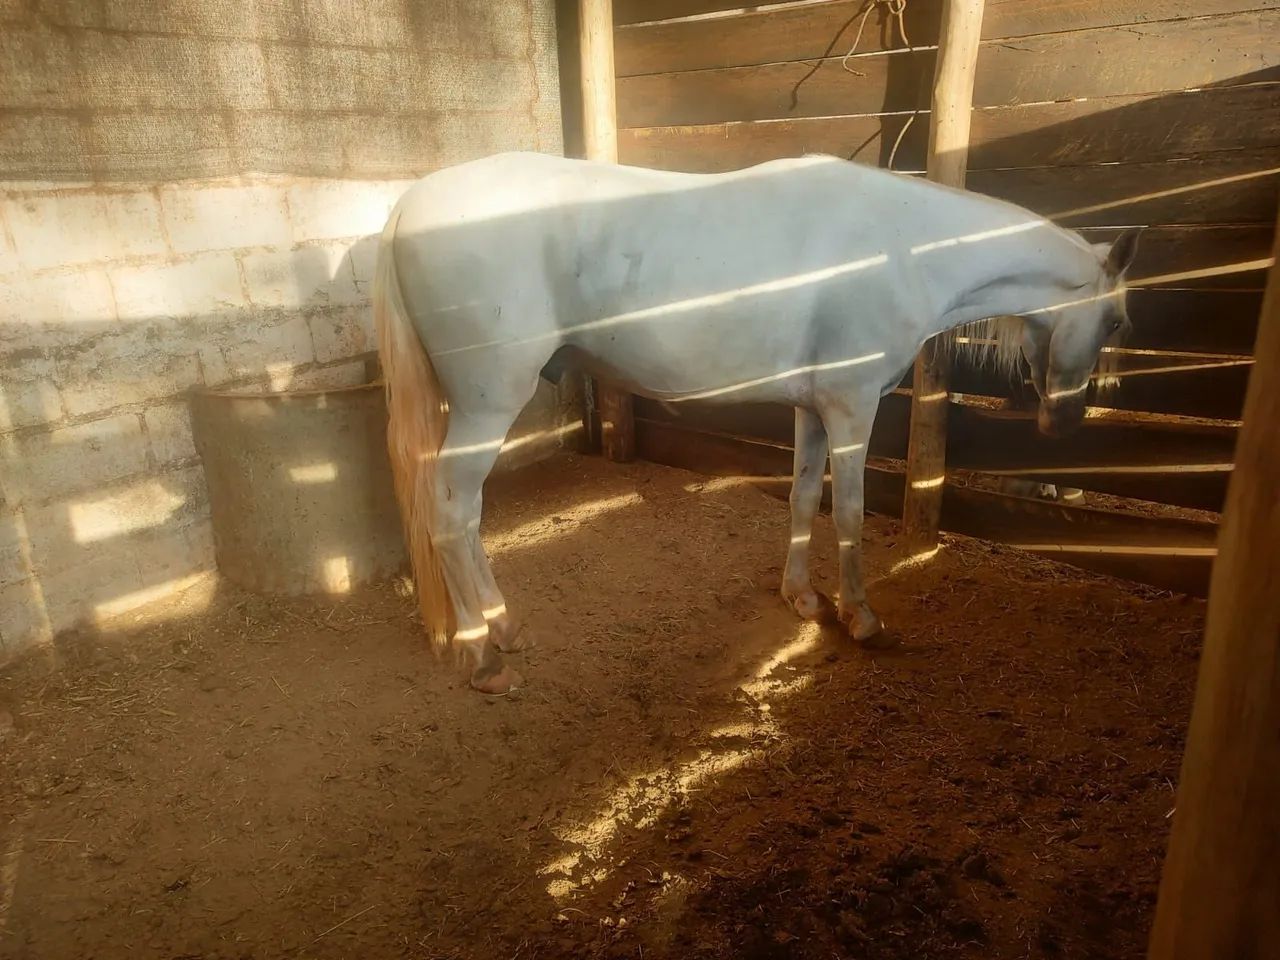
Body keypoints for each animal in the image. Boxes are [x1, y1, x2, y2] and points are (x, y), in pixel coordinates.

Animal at [372, 152, 1139, 694]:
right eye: (1116, 319)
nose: (1066, 421)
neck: (900, 248)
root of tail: (409, 205)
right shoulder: (853, 405)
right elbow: (850, 513)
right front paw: (862, 619)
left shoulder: (813, 408)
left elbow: (803, 497)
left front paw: (803, 598)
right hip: (486, 405)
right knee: (452, 512)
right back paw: (482, 653)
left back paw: (502, 627)